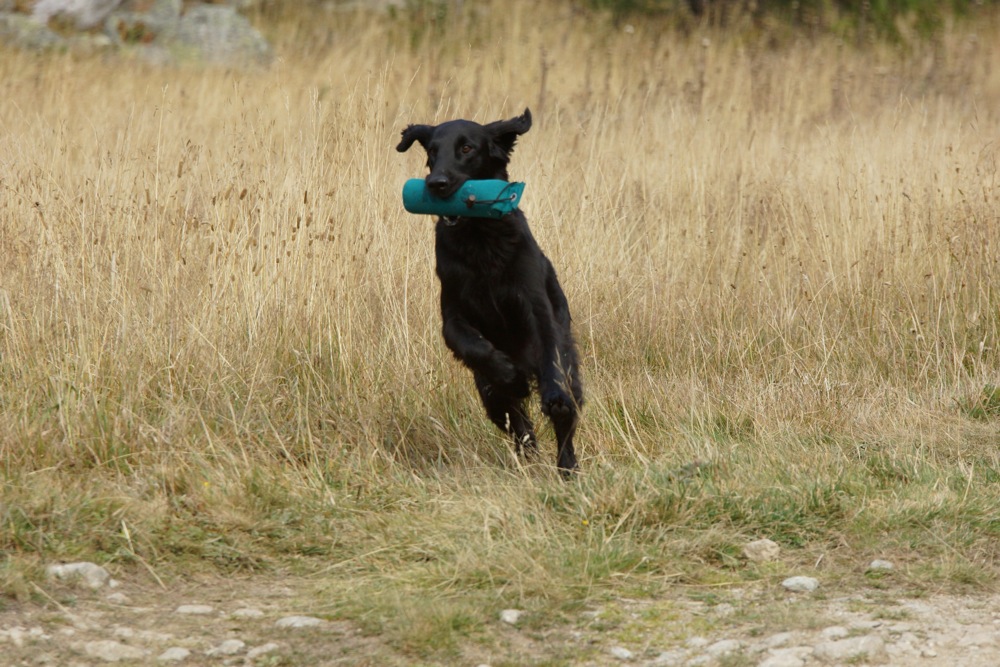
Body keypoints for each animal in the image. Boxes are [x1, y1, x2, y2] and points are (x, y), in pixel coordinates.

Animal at [396, 108, 584, 474]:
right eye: (432, 152)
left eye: (467, 148)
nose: (436, 184)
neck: (480, 238)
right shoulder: (453, 313)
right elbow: (473, 345)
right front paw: (510, 373)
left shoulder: (536, 305)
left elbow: (549, 347)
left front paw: (551, 394)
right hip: (490, 397)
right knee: (520, 428)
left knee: (565, 424)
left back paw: (567, 468)